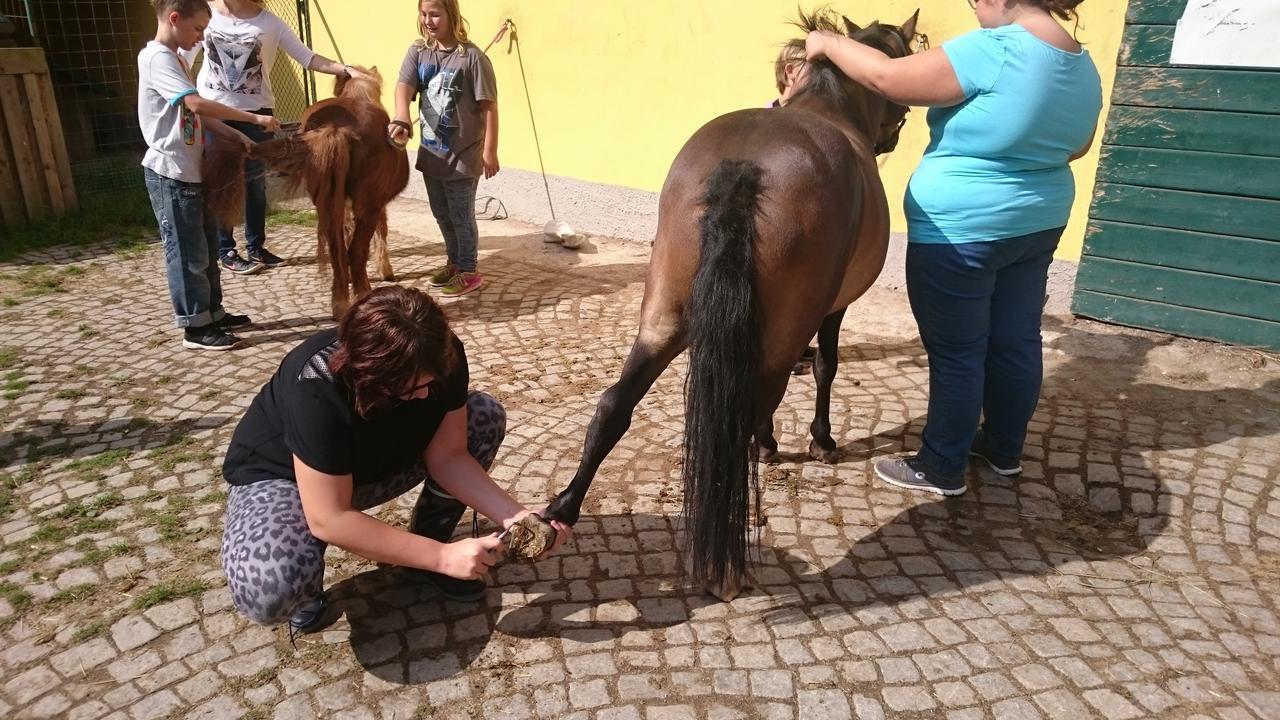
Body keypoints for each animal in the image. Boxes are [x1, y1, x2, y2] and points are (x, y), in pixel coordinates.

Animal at [204, 68, 407, 317]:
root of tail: (337, 127)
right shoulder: (375, 205)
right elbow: (381, 232)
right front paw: (385, 270)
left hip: (326, 204)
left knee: (338, 251)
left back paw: (340, 304)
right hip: (367, 206)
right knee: (356, 251)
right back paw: (363, 297)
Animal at [545, 8, 916, 597]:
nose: (891, 137)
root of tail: (744, 169)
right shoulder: (832, 309)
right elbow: (827, 367)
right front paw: (818, 441)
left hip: (664, 319)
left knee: (613, 405)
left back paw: (563, 508)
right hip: (777, 332)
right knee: (741, 419)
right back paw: (726, 565)